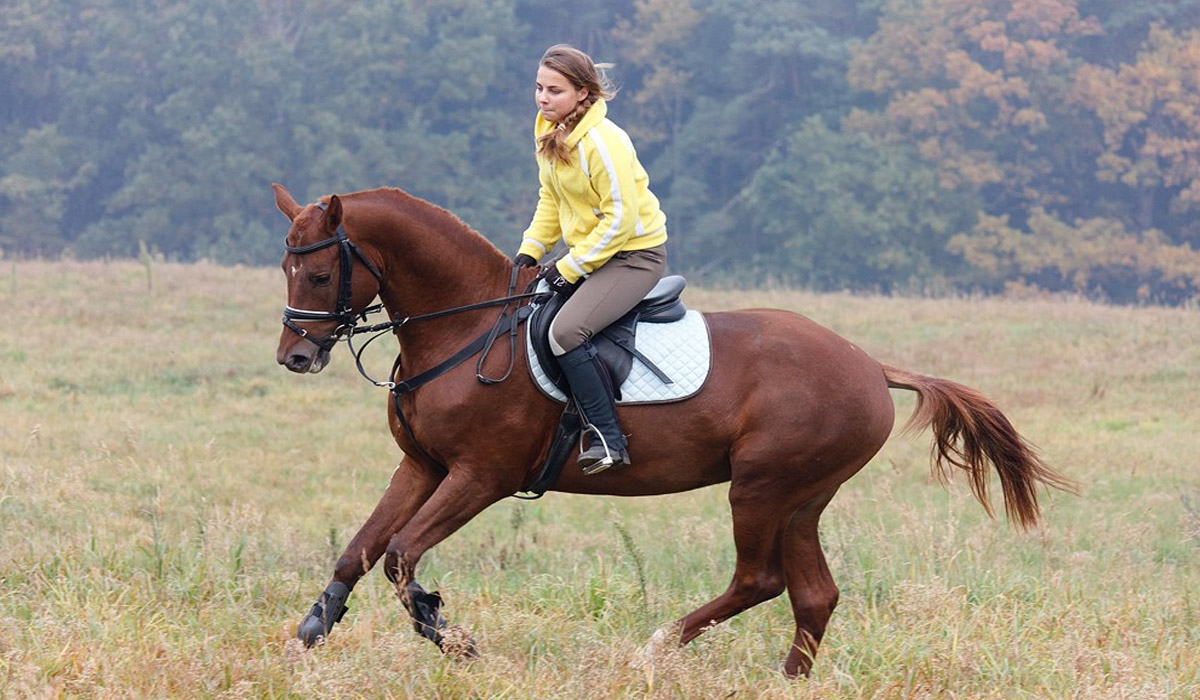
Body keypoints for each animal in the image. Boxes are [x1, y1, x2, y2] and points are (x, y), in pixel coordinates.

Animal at [271, 183, 1074, 677]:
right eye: (285, 267)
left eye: (319, 276)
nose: (295, 357)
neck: (466, 329)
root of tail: (870, 366)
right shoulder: (424, 468)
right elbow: (358, 551)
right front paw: (311, 633)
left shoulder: (480, 477)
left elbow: (401, 557)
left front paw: (452, 637)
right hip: (803, 498)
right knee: (813, 593)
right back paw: (786, 679)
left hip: (761, 487)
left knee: (760, 579)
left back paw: (656, 648)